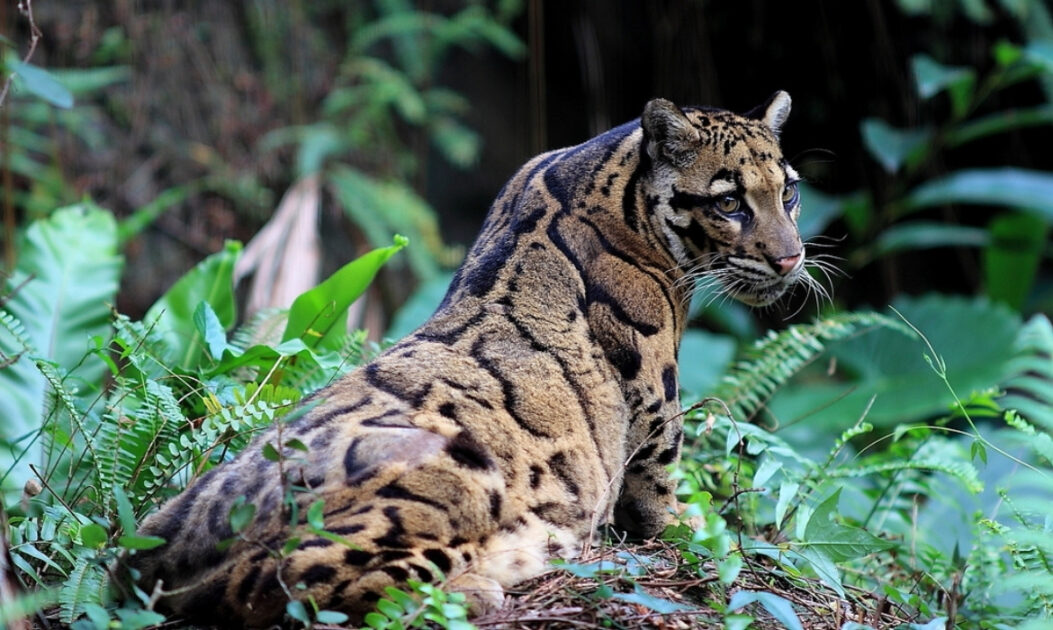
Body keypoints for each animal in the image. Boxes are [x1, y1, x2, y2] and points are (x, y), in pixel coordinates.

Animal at [126, 91, 811, 626]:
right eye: (729, 202)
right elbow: (661, 481)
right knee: (294, 584)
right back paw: (476, 587)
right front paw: (696, 530)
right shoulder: (654, 390)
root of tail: (168, 559)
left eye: (790, 194)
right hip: (447, 471)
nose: (791, 258)